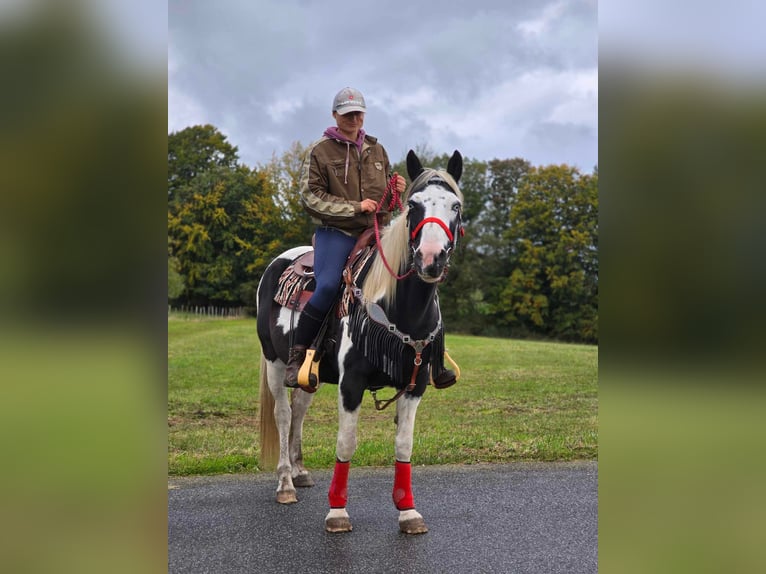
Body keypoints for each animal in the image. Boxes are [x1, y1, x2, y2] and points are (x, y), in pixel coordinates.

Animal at [258, 148, 464, 536]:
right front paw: (337, 511)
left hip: (309, 375)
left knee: (299, 411)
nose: (430, 259)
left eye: (455, 206)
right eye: (413, 204)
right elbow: (347, 442)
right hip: (275, 364)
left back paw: (300, 471)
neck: (398, 307)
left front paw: (408, 512)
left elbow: (404, 445)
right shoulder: (351, 383)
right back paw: (285, 483)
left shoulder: (415, 386)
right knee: (283, 414)